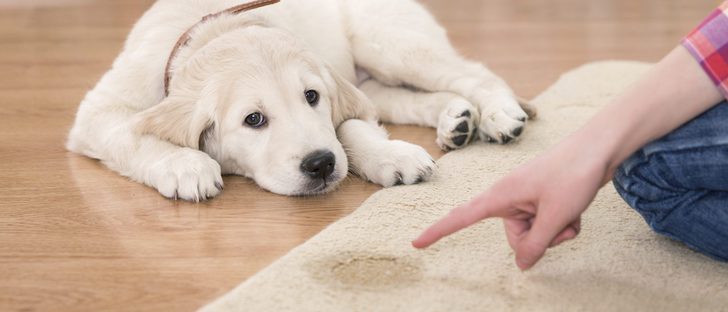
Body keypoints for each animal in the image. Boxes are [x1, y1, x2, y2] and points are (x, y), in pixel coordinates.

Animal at [68, 0, 536, 201]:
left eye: (312, 97)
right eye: (254, 119)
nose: (320, 165)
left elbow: (350, 128)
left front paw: (391, 156)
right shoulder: (98, 113)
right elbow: (131, 135)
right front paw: (186, 166)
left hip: (388, 43)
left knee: (474, 72)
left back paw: (498, 114)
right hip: (374, 73)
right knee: (404, 98)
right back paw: (456, 119)